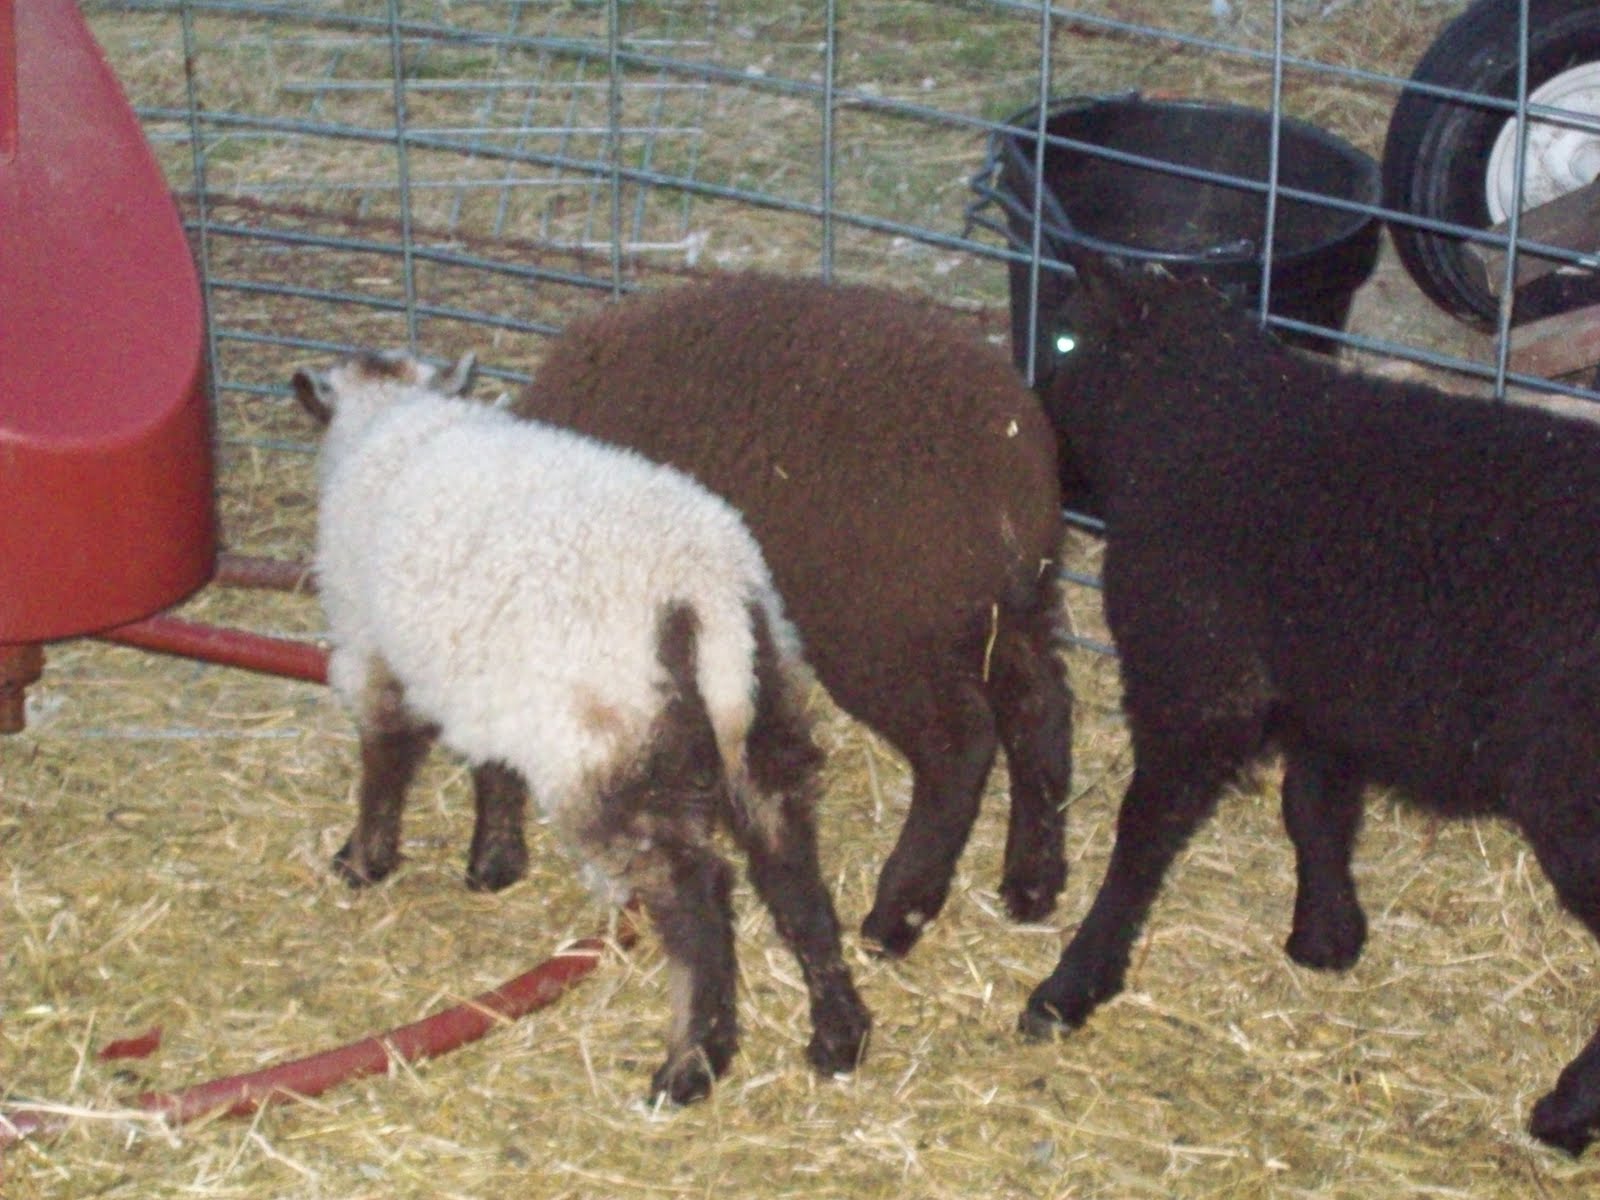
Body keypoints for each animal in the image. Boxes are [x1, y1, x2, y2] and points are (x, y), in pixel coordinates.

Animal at [292, 350, 870, 1104]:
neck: (394, 418)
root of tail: (706, 591)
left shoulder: (370, 649)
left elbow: (384, 761)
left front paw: (363, 861)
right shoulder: (487, 686)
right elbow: (494, 769)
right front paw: (493, 862)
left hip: (606, 750)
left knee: (695, 891)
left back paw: (690, 1062)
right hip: (758, 713)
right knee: (790, 864)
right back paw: (838, 1034)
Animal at [509, 271, 1073, 959]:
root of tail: (1007, 463)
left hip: (883, 626)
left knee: (960, 743)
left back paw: (899, 911)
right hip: (1001, 608)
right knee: (1040, 709)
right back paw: (1032, 882)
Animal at [1019, 261, 1600, 1156]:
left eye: (1064, 338)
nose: (1019, 414)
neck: (1201, 420)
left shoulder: (1196, 678)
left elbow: (1142, 838)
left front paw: (1072, 983)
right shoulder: (1323, 692)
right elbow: (1313, 808)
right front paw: (1328, 936)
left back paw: (1567, 1112)